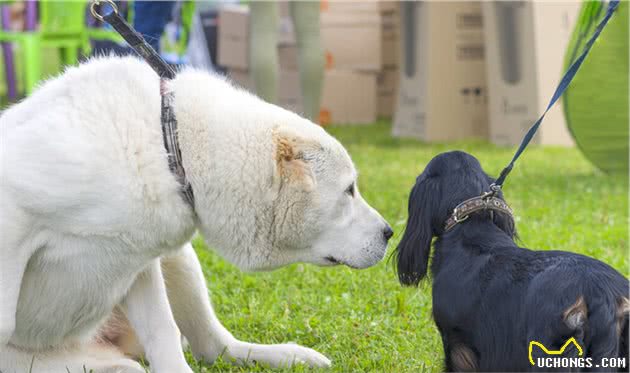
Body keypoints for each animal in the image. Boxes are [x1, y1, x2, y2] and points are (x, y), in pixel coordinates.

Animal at [0, 56, 396, 372]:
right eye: (349, 190)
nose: (390, 232)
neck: (170, 146)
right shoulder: (13, 222)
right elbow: (4, 323)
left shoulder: (142, 261)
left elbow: (163, 331)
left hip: (179, 260)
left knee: (213, 347)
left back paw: (290, 355)